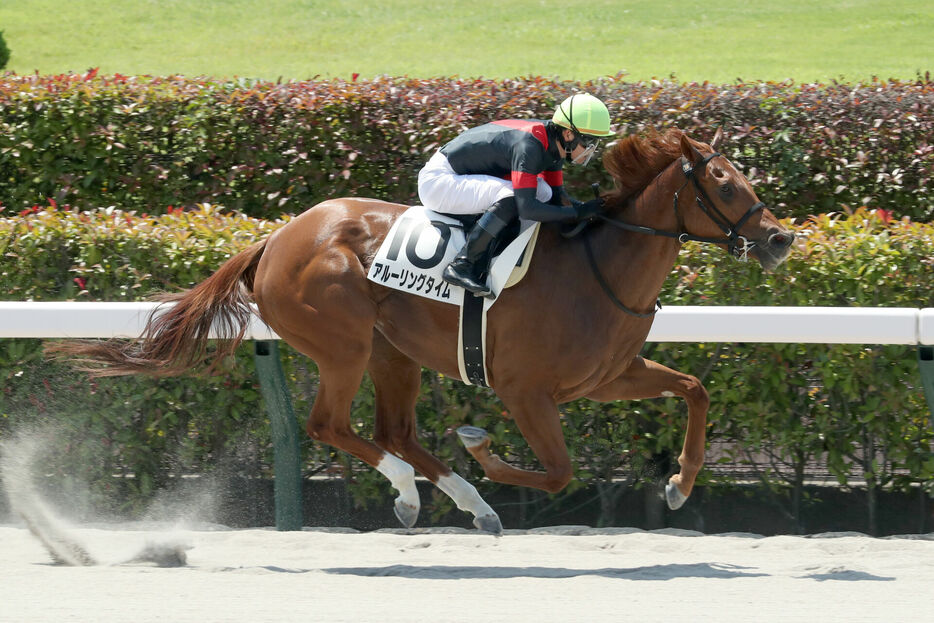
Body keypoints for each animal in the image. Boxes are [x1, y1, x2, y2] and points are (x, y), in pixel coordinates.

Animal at [53, 128, 796, 536]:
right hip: (344, 341)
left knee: (394, 431)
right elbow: (557, 471)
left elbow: (696, 388)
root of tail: (277, 238)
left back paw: (462, 502)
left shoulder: (608, 378)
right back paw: (415, 491)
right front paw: (481, 446)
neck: (598, 267)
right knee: (332, 425)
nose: (781, 239)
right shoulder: (526, 391)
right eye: (724, 182)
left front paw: (679, 484)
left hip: (393, 351)